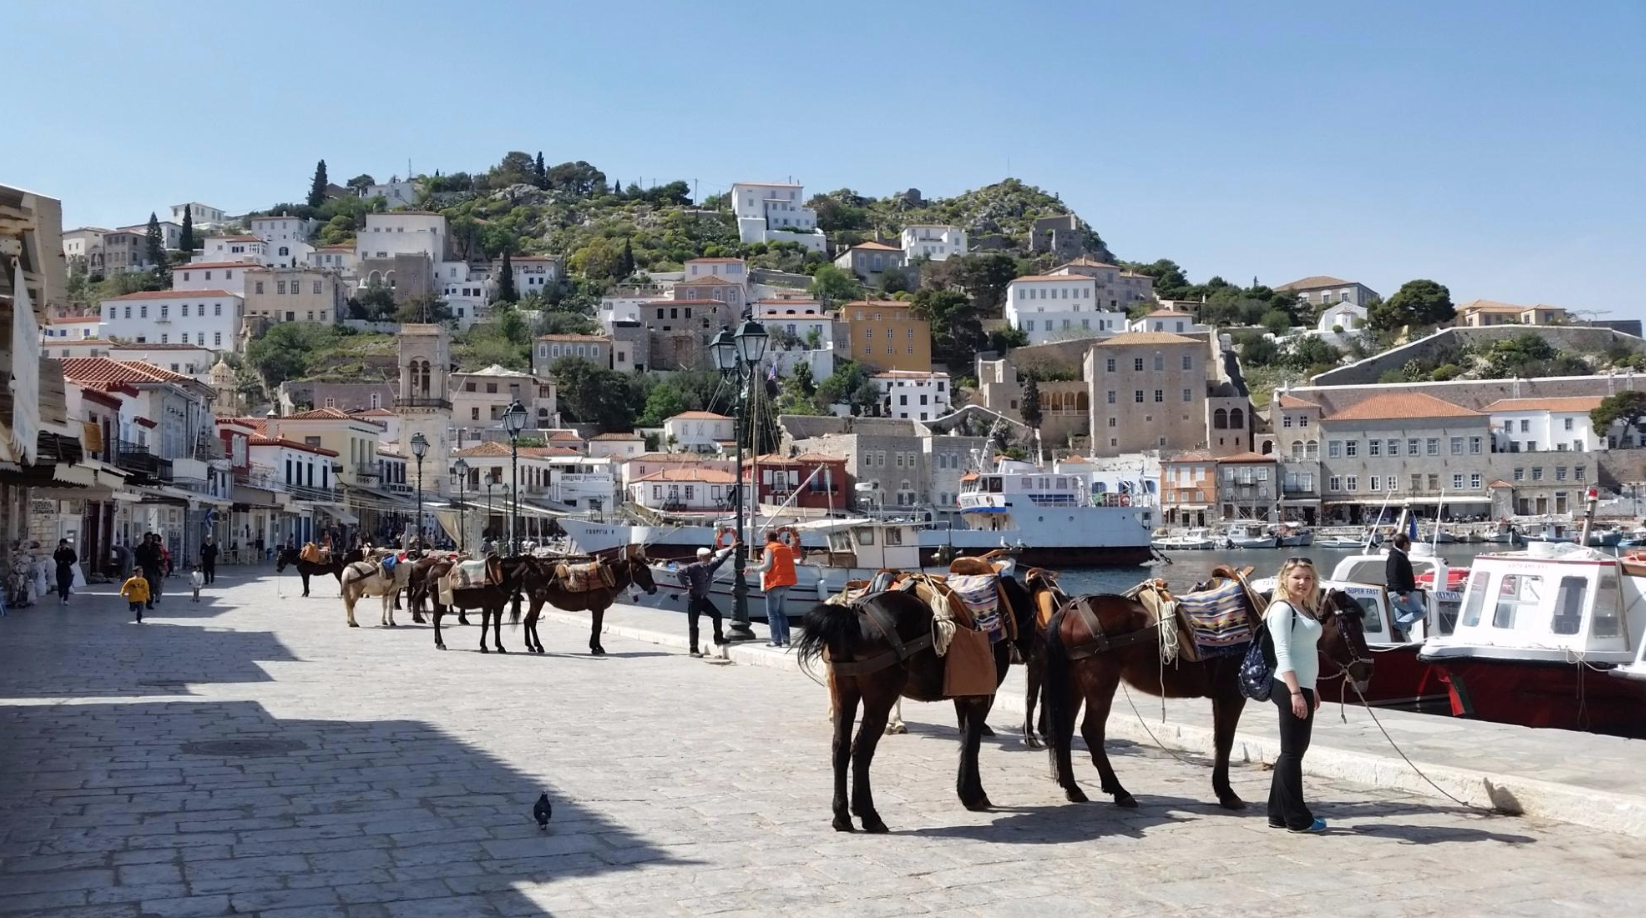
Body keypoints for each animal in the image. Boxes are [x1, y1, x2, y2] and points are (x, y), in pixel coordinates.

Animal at [522, 546, 658, 655]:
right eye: (646, 573)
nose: (654, 589)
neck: (609, 577)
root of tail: (531, 570)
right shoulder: (598, 608)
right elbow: (597, 627)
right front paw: (597, 648)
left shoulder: (598, 609)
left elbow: (596, 626)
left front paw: (595, 647)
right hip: (537, 600)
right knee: (532, 621)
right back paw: (538, 646)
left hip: (535, 601)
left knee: (527, 620)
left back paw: (530, 646)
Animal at [795, 573, 1038, 834]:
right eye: (1035, 613)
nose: (1032, 651)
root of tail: (852, 616)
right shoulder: (982, 695)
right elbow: (973, 743)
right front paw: (973, 795)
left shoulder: (963, 694)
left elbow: (965, 739)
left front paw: (968, 792)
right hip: (880, 698)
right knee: (860, 749)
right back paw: (869, 815)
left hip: (844, 692)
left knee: (839, 747)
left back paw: (841, 816)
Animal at [1041, 577, 1373, 809]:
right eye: (1349, 621)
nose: (1367, 668)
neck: (1261, 620)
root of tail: (1071, 608)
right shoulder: (1230, 696)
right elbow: (1224, 742)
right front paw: (1226, 793)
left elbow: (1220, 741)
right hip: (1100, 683)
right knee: (1092, 731)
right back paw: (1119, 791)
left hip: (1074, 685)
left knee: (1065, 729)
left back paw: (1074, 788)